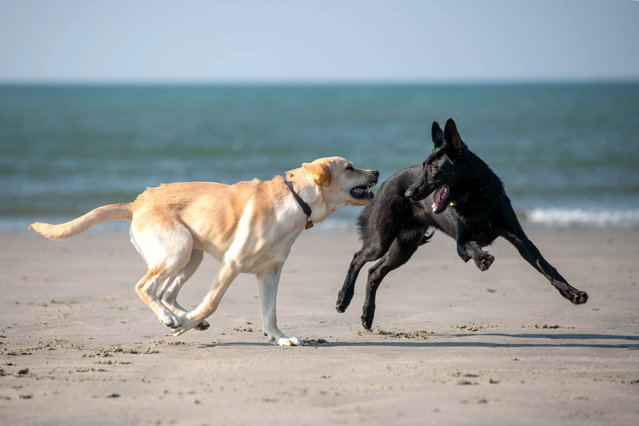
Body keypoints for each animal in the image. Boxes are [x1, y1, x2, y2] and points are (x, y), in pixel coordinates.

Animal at [338, 118, 588, 332]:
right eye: (423, 166)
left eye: (433, 169)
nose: (408, 194)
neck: (474, 196)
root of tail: (385, 184)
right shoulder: (461, 244)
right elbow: (471, 245)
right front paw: (482, 258)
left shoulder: (520, 239)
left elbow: (546, 267)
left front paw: (573, 293)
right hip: (381, 241)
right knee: (357, 258)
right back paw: (343, 298)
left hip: (404, 248)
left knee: (374, 272)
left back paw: (367, 315)